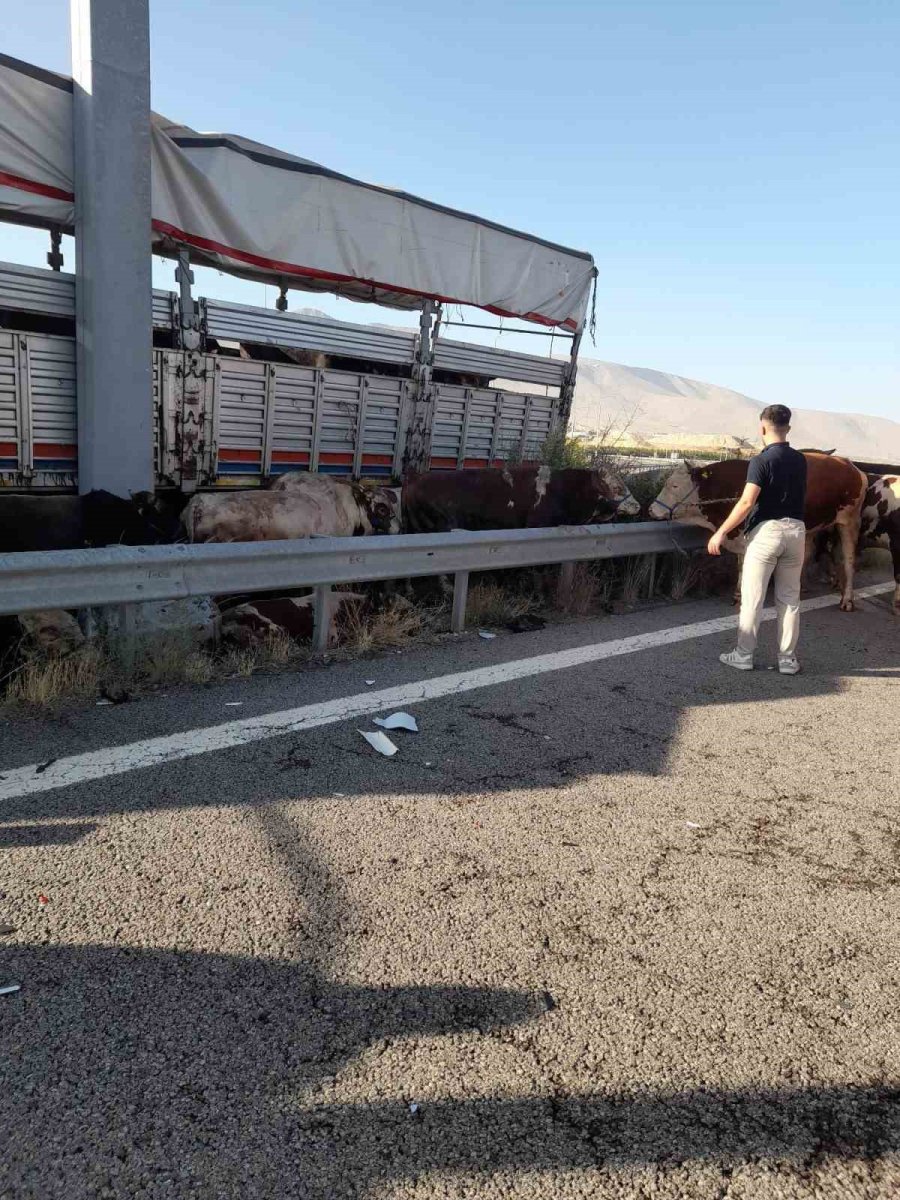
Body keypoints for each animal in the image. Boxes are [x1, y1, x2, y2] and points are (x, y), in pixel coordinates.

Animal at [652, 453, 868, 614]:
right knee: (808, 554)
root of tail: (852, 467)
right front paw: (738, 595)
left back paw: (847, 599)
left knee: (849, 560)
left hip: (849, 522)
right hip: (812, 526)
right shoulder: (739, 537)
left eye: (674, 485)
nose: (651, 510)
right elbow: (741, 566)